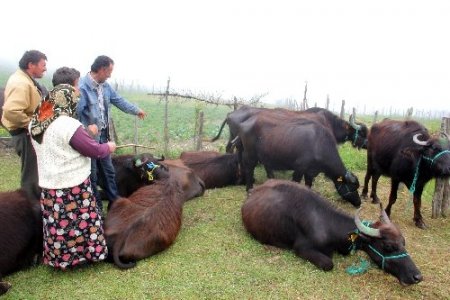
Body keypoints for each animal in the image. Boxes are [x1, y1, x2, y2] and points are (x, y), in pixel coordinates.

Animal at [243, 179, 422, 284]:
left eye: (403, 243)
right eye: (388, 247)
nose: (417, 277)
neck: (328, 226)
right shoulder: (301, 249)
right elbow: (329, 264)